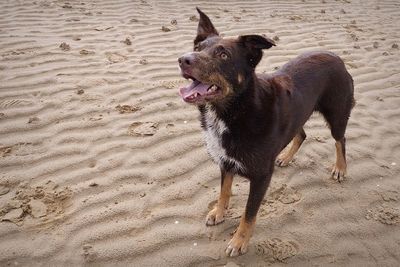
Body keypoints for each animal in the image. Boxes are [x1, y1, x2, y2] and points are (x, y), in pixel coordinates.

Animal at [178, 8, 354, 258]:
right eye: (197, 47)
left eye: (223, 55)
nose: (183, 59)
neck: (236, 110)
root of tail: (337, 57)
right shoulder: (226, 161)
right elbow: (224, 191)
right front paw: (219, 212)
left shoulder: (261, 176)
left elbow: (249, 214)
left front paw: (239, 241)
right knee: (301, 134)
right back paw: (286, 157)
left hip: (337, 114)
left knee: (341, 140)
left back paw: (340, 168)